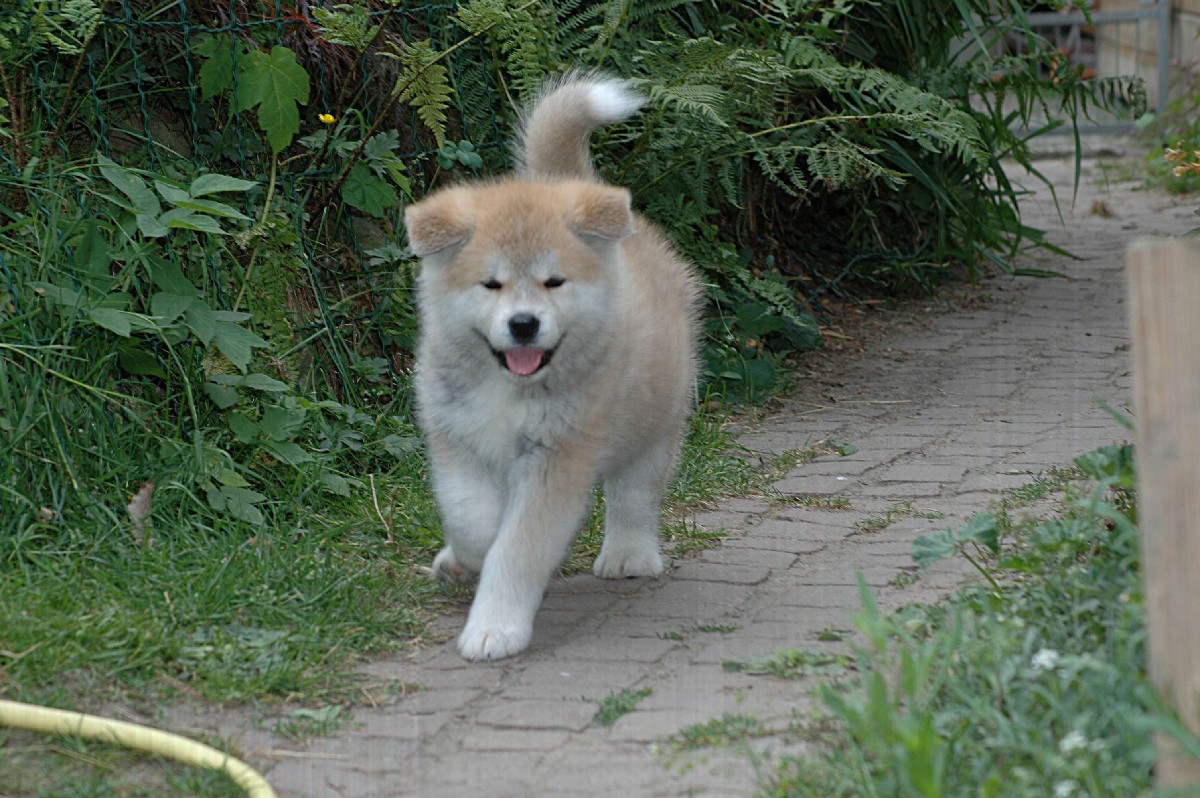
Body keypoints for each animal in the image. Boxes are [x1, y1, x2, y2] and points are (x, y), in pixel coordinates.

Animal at [403, 74, 701, 661]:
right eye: (491, 284)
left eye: (554, 282)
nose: (523, 324)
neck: (509, 387)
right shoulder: (457, 441)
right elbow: (472, 520)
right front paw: (465, 557)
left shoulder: (557, 458)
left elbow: (516, 547)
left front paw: (494, 627)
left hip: (653, 422)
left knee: (634, 495)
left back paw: (629, 554)